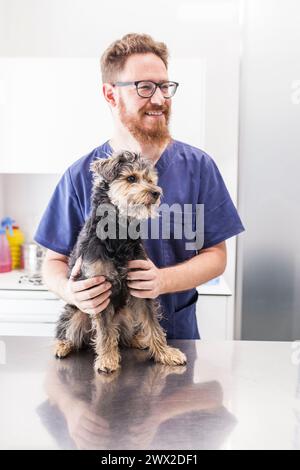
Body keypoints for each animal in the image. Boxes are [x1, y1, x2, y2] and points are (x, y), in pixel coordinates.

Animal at [52, 151, 186, 374]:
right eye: (131, 178)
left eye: (150, 179)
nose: (156, 192)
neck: (118, 232)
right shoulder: (99, 288)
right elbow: (105, 331)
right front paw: (107, 359)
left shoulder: (141, 285)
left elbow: (153, 325)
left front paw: (165, 353)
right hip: (76, 314)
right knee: (78, 334)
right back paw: (63, 345)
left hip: (127, 315)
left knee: (121, 334)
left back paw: (139, 340)